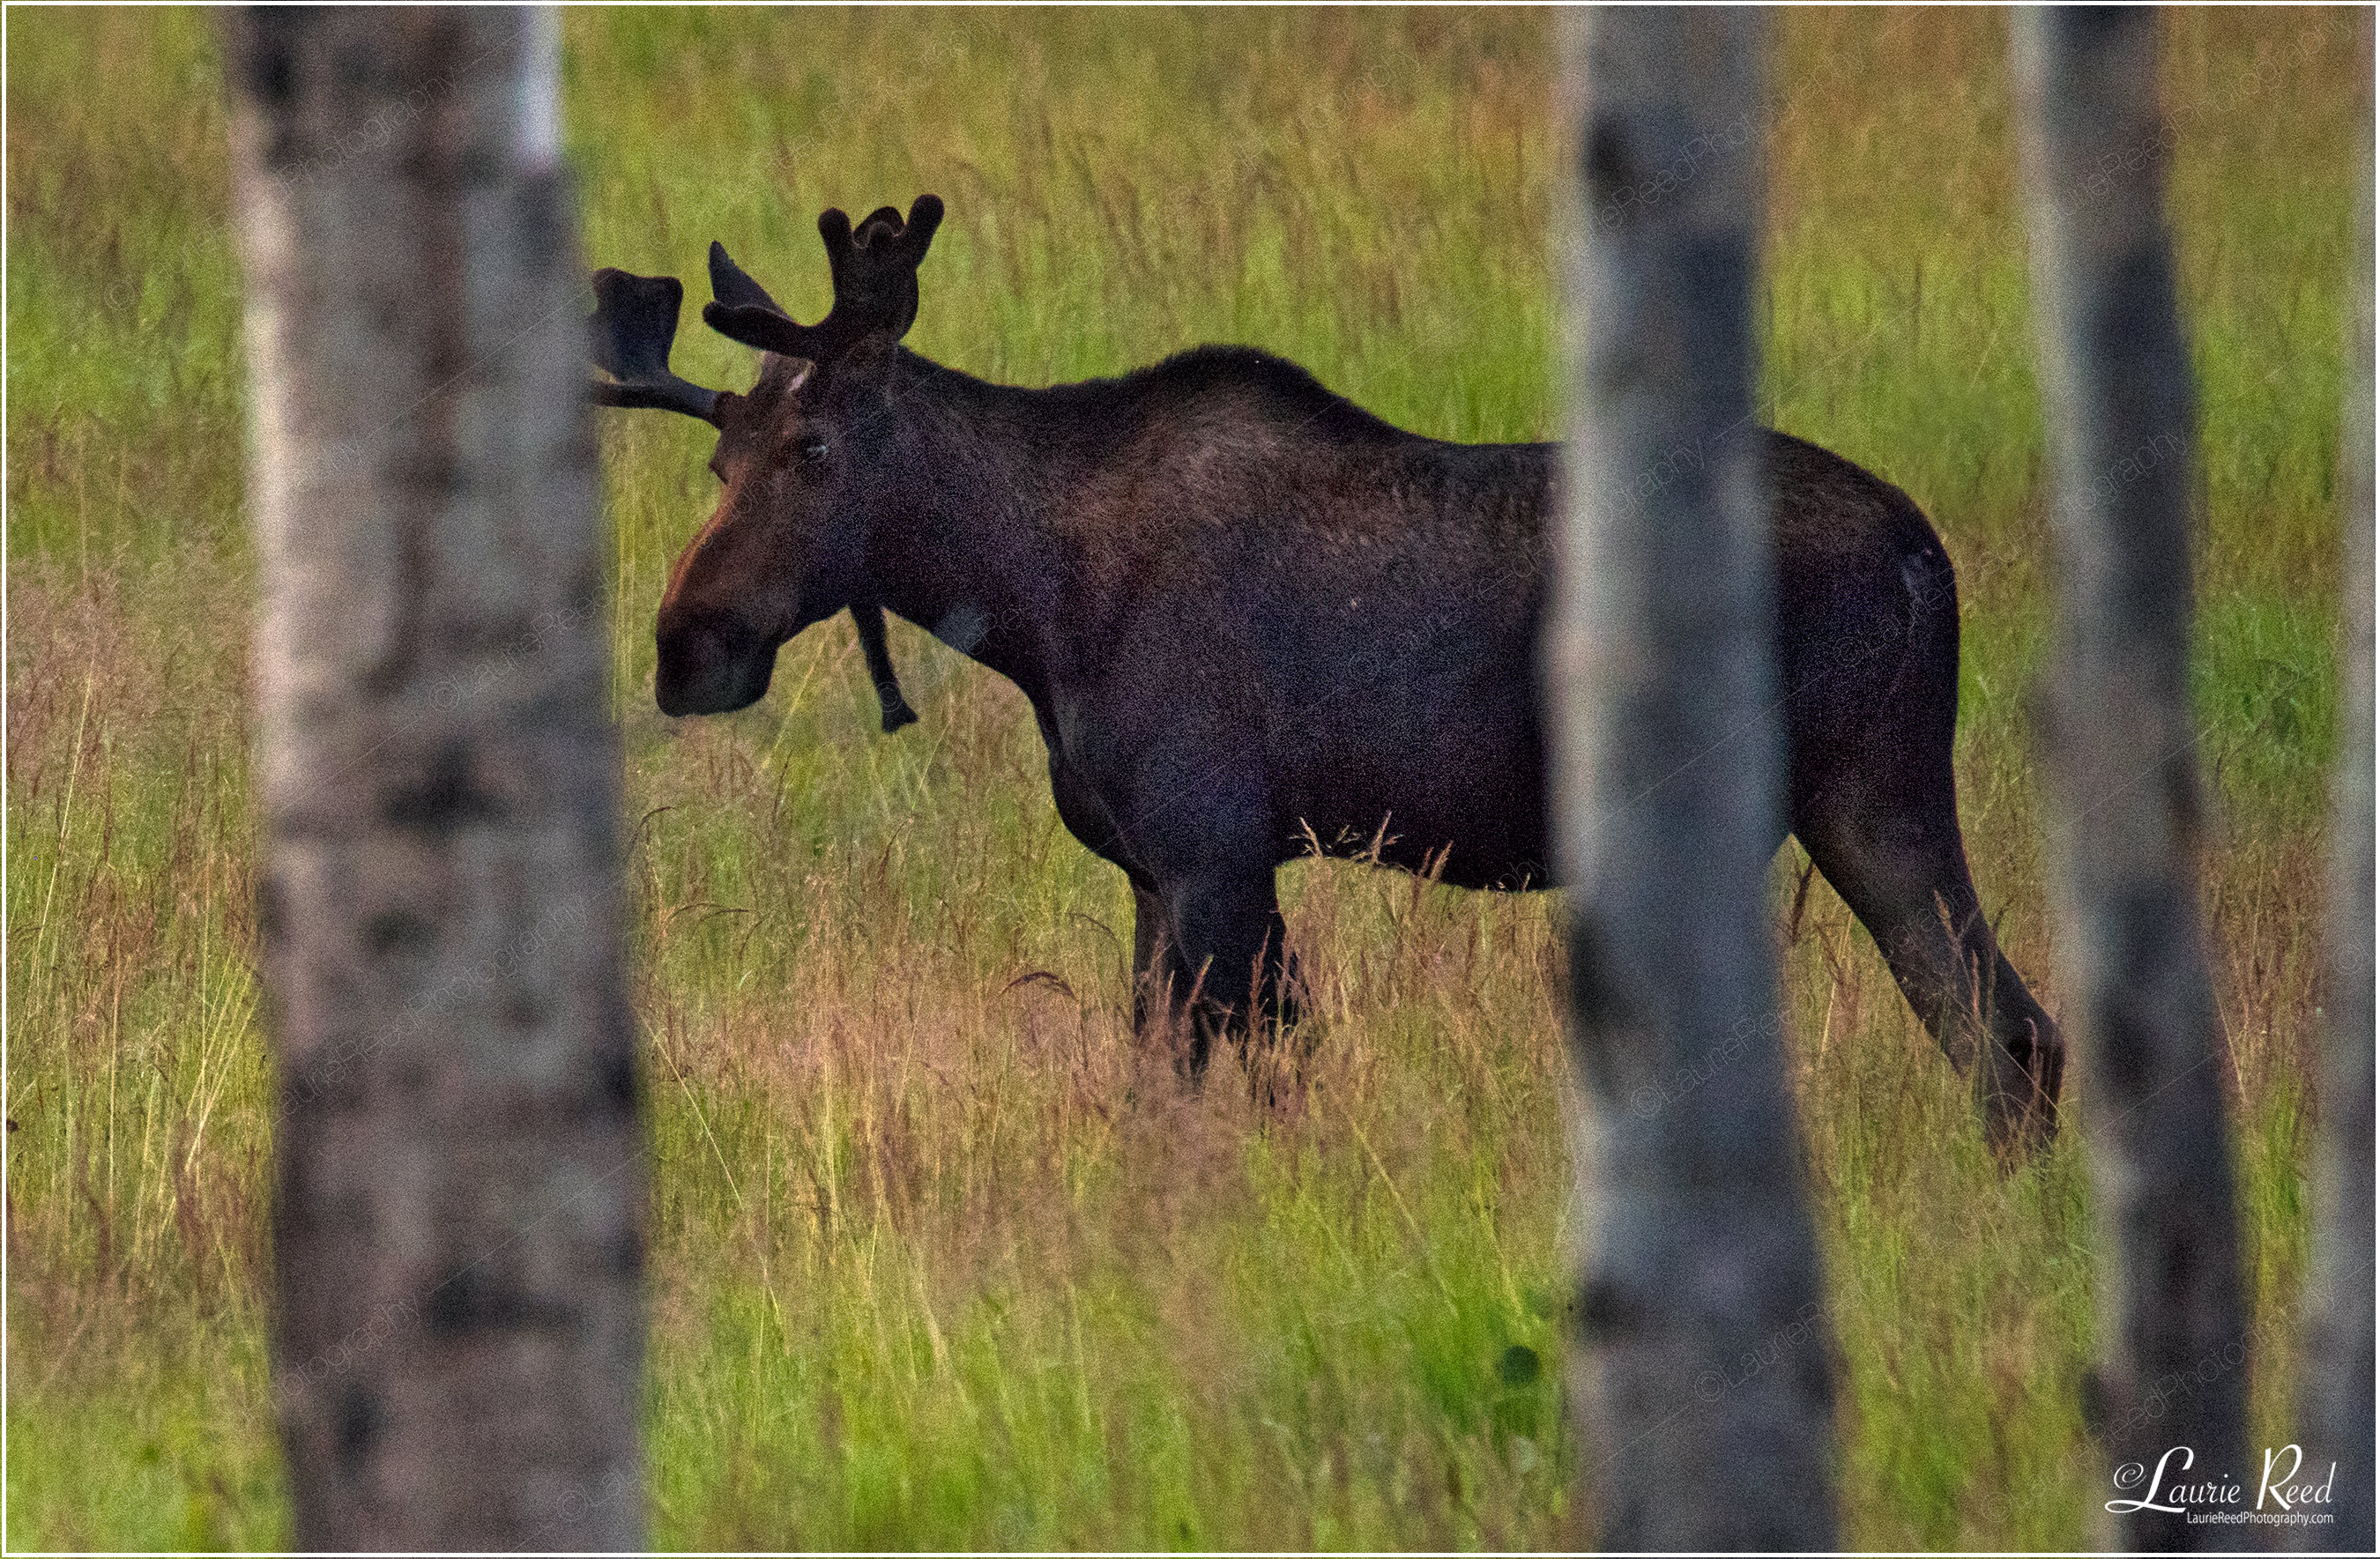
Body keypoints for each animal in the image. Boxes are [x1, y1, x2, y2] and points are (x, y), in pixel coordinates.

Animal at [589, 194, 2065, 1149]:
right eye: (716, 457)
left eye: (815, 449)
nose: (684, 645)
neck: (1023, 600)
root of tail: (1928, 556)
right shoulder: (1159, 869)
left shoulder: (1215, 852)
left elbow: (1225, 1091)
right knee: (2011, 1036)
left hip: (1867, 788)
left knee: (2003, 1034)